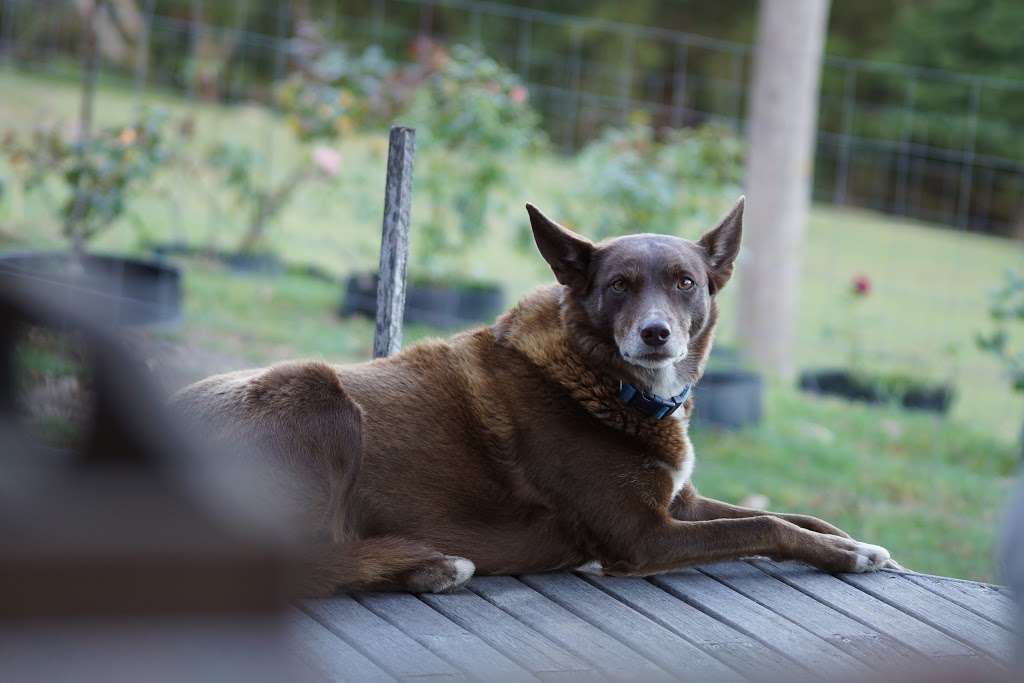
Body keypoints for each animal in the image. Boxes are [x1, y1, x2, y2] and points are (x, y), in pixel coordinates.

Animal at [172, 200, 892, 593]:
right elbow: (763, 526)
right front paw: (849, 554)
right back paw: (427, 563)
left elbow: (791, 515)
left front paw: (853, 540)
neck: (604, 381)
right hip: (315, 392)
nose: (656, 334)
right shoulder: (643, 536)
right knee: (289, 562)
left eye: (685, 282)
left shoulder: (677, 501)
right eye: (621, 285)